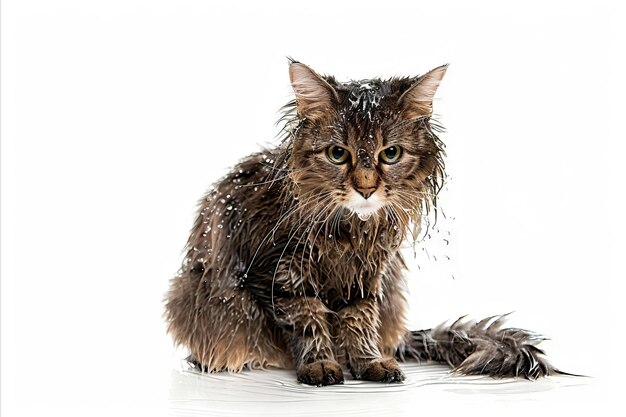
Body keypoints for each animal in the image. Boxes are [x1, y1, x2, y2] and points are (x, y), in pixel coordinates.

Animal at [163, 60, 560, 386]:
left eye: (391, 154)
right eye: (338, 154)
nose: (366, 187)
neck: (350, 231)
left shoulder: (369, 275)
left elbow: (359, 319)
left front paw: (368, 362)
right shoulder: (278, 273)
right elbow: (307, 319)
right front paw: (320, 364)